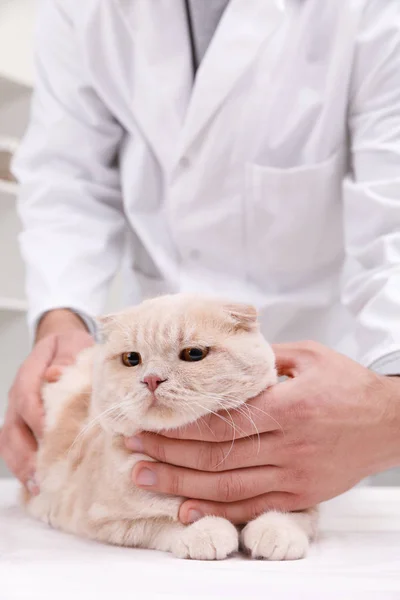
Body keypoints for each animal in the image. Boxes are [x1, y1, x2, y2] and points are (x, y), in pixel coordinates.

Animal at [25, 292, 318, 560]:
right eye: (131, 359)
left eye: (194, 353)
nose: (152, 379)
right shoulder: (105, 521)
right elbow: (165, 521)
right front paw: (206, 532)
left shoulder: (302, 497)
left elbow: (293, 514)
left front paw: (275, 531)